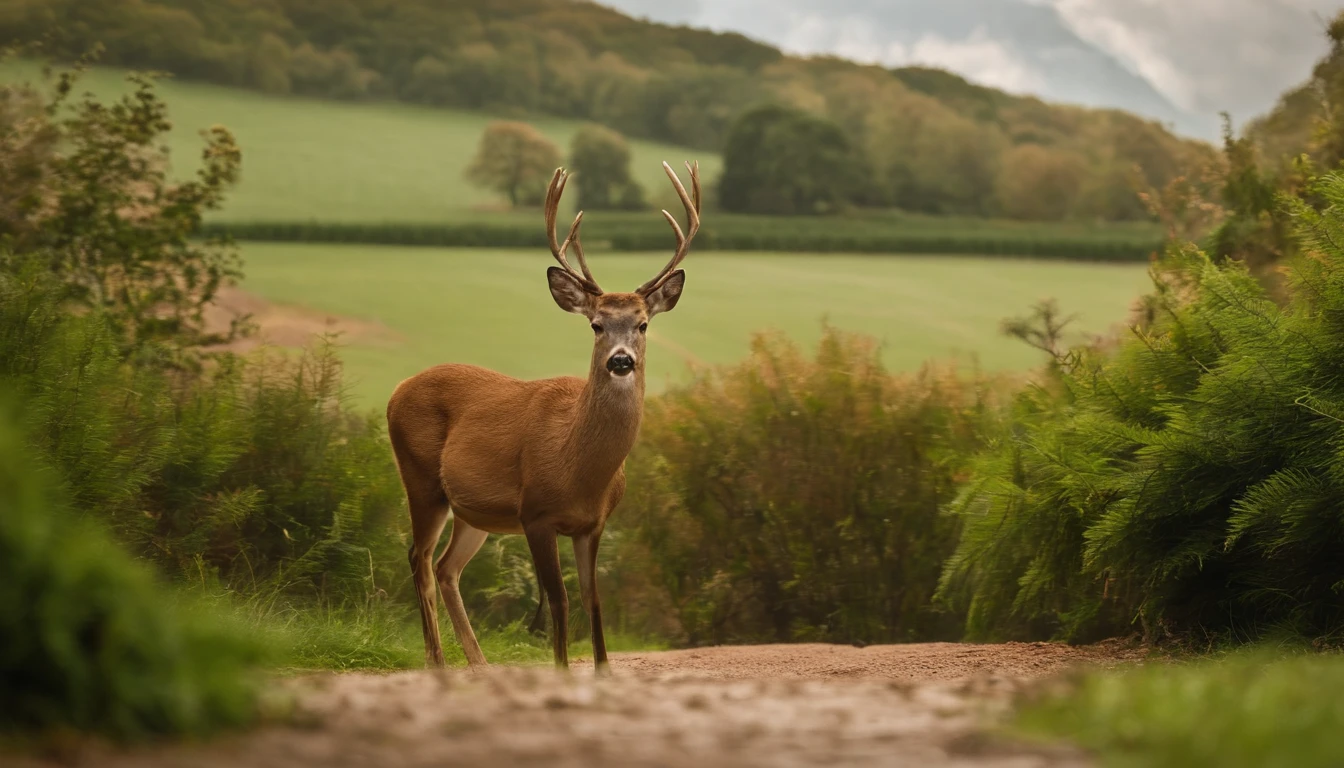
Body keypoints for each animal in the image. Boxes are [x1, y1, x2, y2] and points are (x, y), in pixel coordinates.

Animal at [387, 160, 704, 672]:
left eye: (642, 324)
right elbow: (559, 600)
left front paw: (602, 671)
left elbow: (594, 600)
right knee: (419, 557)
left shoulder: (594, 523)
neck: (579, 469)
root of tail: (397, 391)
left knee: (446, 566)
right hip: (421, 479)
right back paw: (438, 662)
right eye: (596, 324)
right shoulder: (535, 513)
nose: (620, 360)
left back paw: (479, 663)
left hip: (473, 510)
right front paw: (561, 669)